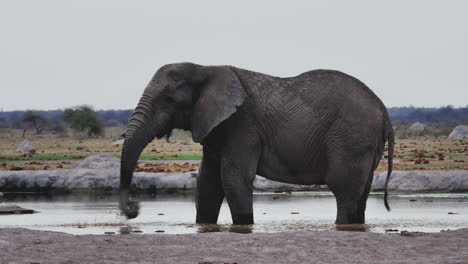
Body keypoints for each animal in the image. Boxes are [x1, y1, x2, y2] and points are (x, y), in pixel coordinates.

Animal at [119, 62, 394, 225]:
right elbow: (207, 183)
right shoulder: (217, 127)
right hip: (363, 143)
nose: (134, 209)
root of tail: (383, 109)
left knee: (343, 190)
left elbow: (232, 179)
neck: (205, 68)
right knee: (360, 193)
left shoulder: (242, 126)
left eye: (168, 99)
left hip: (351, 138)